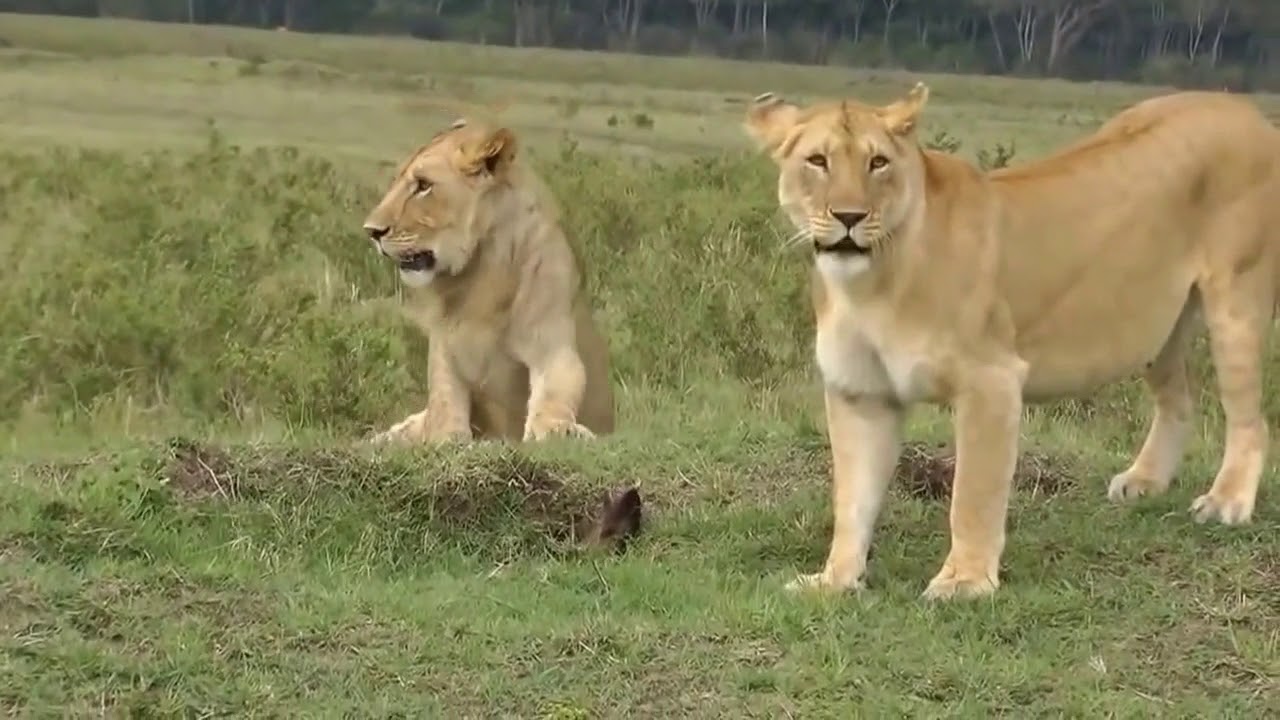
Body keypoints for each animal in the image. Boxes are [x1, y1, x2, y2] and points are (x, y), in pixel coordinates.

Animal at [361, 119, 615, 444]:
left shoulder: (552, 343)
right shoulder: (445, 349)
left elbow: (558, 388)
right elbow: (444, 400)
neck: (479, 270)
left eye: (423, 185)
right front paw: (447, 437)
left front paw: (558, 429)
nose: (371, 231)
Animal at [742, 84, 1280, 600]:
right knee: (1179, 400)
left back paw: (1226, 502)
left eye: (878, 162)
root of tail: (1246, 111)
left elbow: (973, 494)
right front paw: (834, 581)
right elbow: (852, 499)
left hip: (1237, 299)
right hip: (1153, 322)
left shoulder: (991, 379)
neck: (869, 284)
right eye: (817, 161)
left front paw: (965, 583)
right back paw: (1144, 482)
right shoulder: (861, 393)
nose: (850, 216)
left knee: (1250, 419)